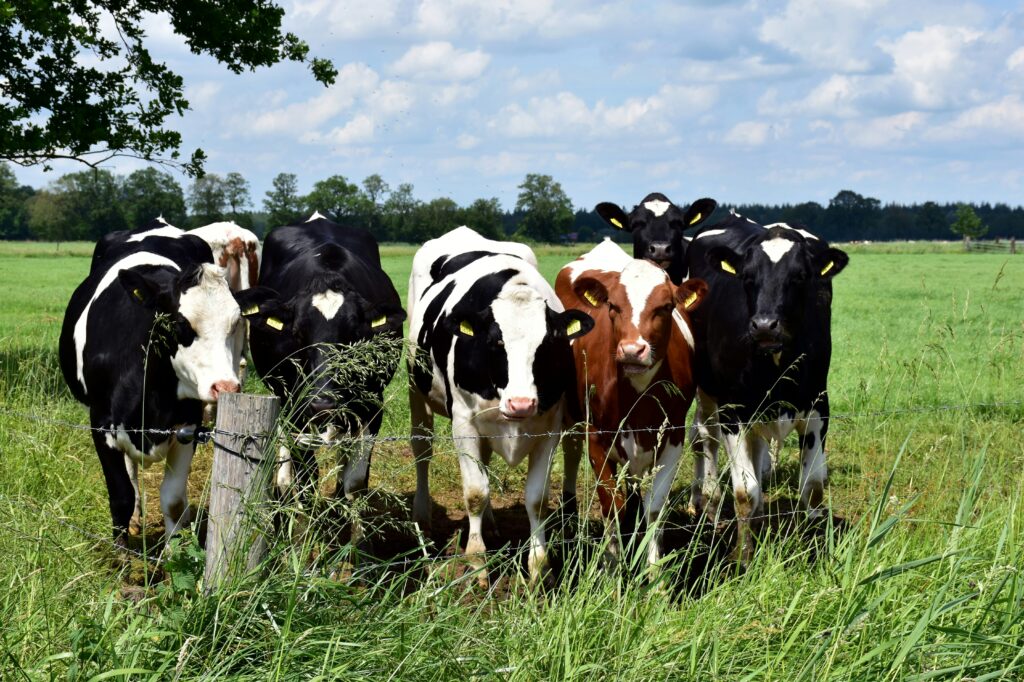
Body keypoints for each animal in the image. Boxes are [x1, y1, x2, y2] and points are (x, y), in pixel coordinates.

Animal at [58, 228, 246, 540]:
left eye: (235, 324)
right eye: (181, 324)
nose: (226, 387)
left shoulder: (188, 427)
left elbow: (173, 500)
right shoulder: (100, 424)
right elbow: (121, 497)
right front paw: (122, 552)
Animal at [235, 209, 403, 544]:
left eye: (353, 335)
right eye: (298, 334)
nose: (323, 403)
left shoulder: (372, 407)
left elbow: (354, 481)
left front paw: (351, 537)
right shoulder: (295, 407)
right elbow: (307, 477)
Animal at [407, 224, 598, 585]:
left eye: (548, 344)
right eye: (495, 342)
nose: (521, 403)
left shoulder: (549, 427)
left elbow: (536, 498)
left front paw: (538, 566)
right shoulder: (463, 423)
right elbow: (475, 492)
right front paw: (477, 562)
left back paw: (491, 524)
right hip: (416, 387)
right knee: (422, 448)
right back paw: (422, 515)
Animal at [557, 238, 708, 569]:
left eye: (666, 307)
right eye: (613, 307)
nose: (631, 350)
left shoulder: (673, 435)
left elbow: (655, 507)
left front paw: (653, 569)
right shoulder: (596, 438)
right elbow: (611, 505)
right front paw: (612, 566)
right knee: (570, 450)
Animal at [679, 210, 847, 557]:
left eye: (800, 277)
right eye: (746, 277)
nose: (766, 325)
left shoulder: (818, 407)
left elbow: (812, 487)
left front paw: (814, 550)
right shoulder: (733, 412)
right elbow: (745, 492)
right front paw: (743, 558)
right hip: (708, 394)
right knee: (704, 437)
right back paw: (708, 504)